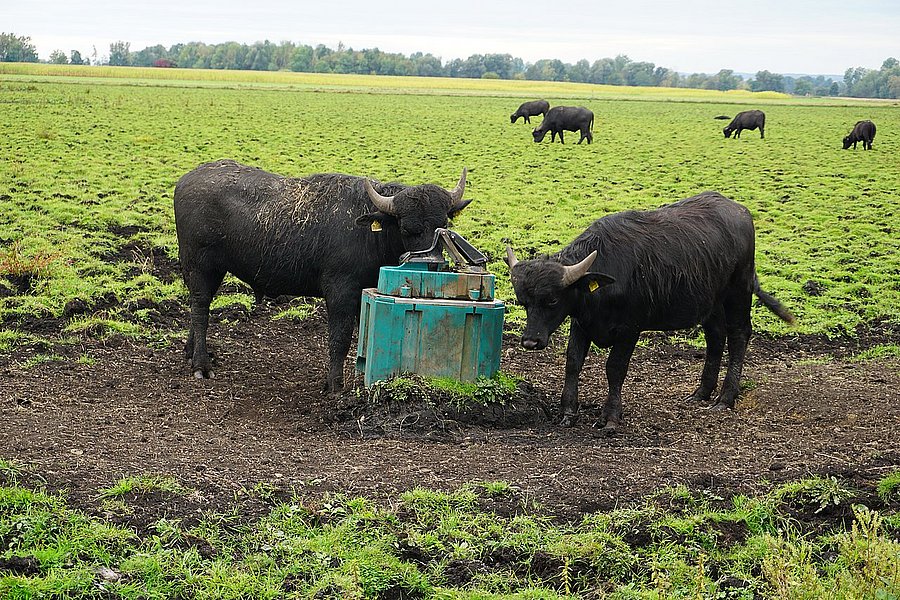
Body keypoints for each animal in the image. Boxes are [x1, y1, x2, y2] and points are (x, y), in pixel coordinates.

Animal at [174, 159, 472, 392]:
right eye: (409, 229)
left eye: (443, 225)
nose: (432, 264)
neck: (370, 234)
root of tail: (186, 180)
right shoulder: (341, 292)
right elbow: (339, 338)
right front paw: (335, 384)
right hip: (201, 266)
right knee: (200, 308)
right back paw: (201, 363)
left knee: (198, 307)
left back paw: (191, 351)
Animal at [506, 192, 796, 432]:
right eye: (523, 302)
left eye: (552, 300)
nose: (531, 341)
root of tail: (740, 211)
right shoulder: (581, 323)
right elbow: (573, 362)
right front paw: (568, 412)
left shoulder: (629, 329)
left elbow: (615, 368)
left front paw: (610, 417)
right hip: (710, 303)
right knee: (715, 337)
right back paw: (701, 393)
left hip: (738, 291)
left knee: (738, 335)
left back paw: (725, 398)